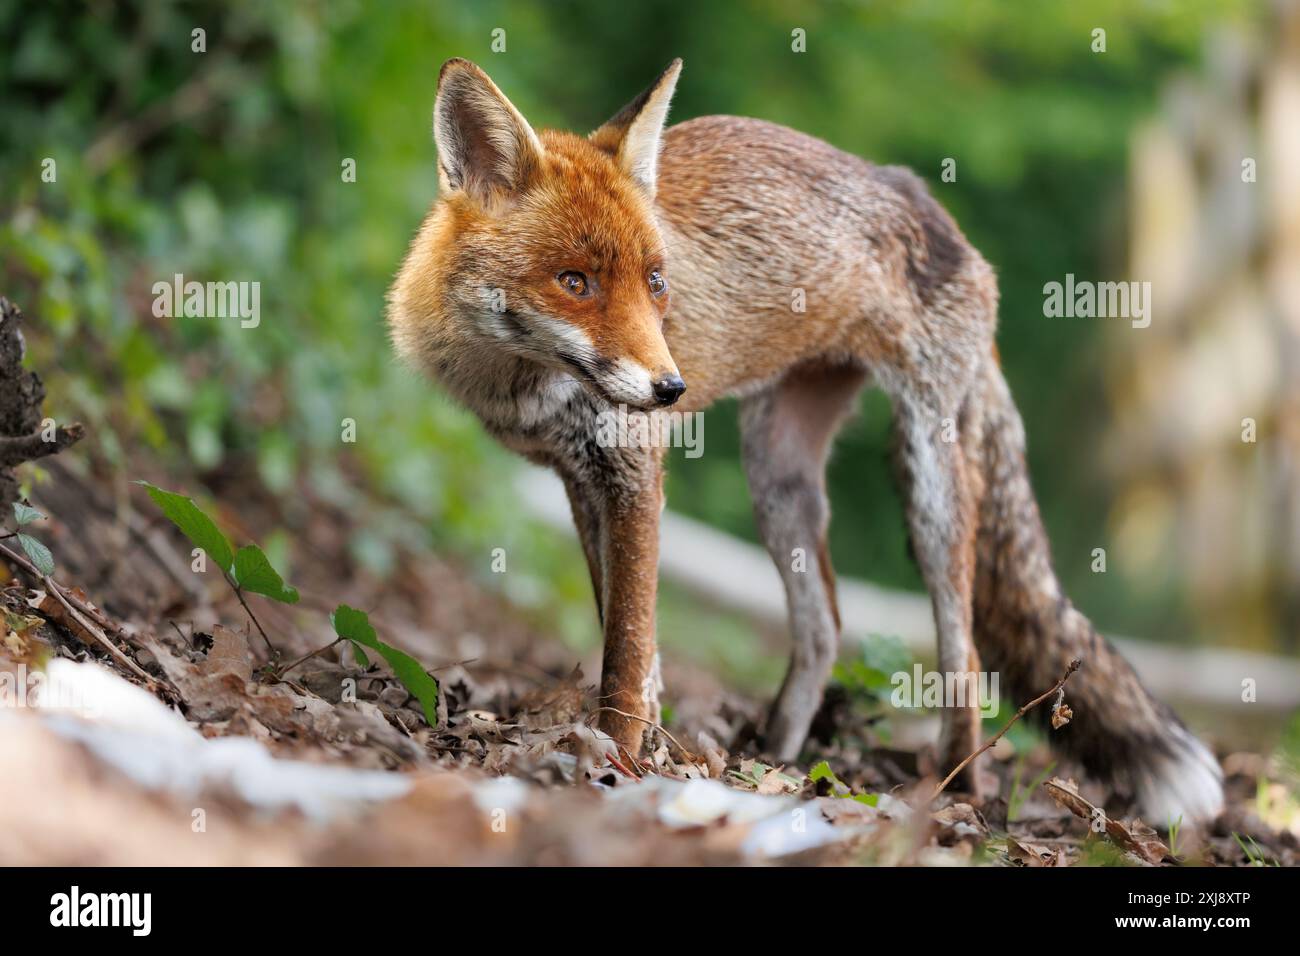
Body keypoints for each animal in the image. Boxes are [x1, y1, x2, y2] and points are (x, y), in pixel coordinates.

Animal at [388, 58, 1224, 823]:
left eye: (656, 283)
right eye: (574, 282)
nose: (671, 389)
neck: (520, 382)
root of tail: (927, 200)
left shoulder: (633, 473)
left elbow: (626, 653)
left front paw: (618, 761)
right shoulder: (582, 479)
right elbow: (636, 644)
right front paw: (651, 751)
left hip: (928, 487)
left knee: (963, 658)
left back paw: (954, 793)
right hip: (777, 476)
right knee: (825, 628)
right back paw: (778, 761)